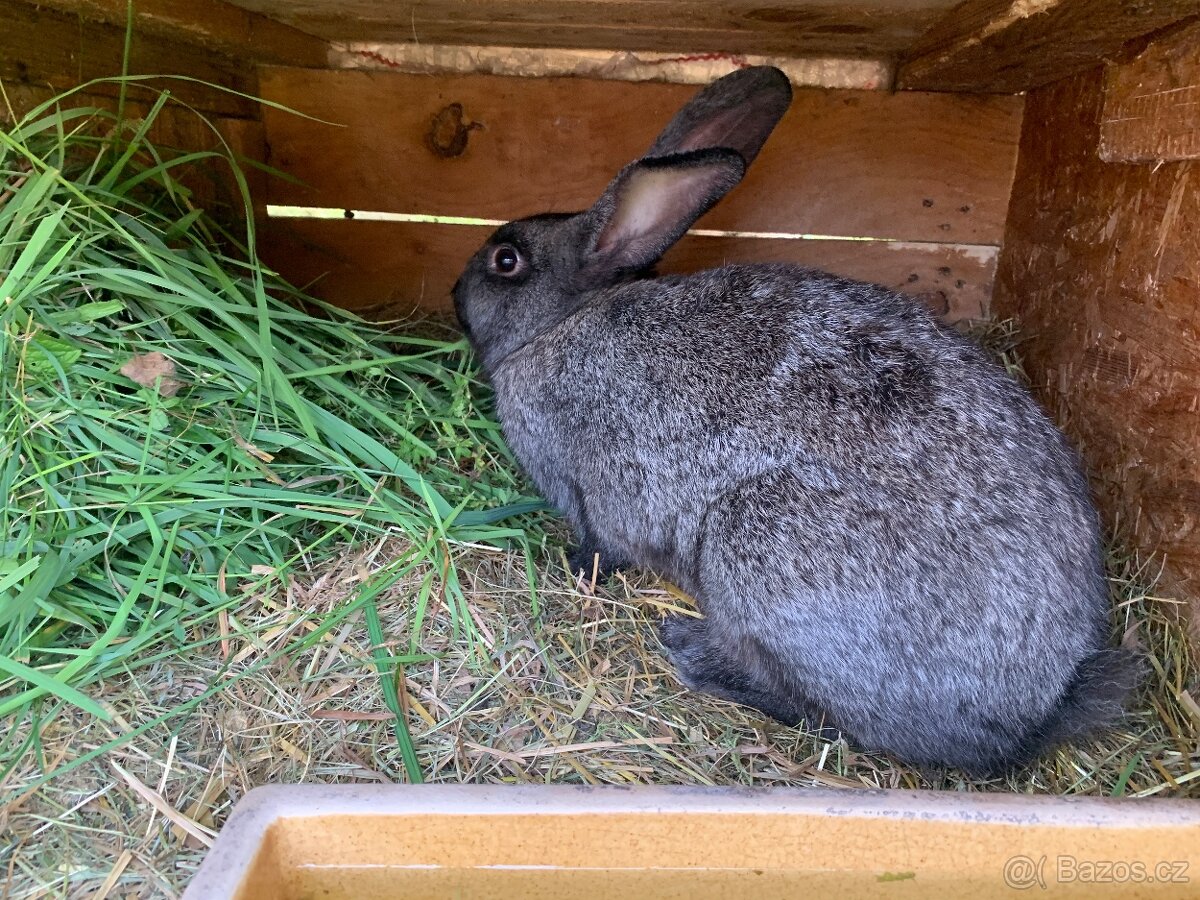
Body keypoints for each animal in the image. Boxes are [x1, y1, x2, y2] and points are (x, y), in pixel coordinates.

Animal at [451, 66, 1132, 777]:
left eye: (506, 261)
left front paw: (571, 567)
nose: (452, 293)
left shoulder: (591, 494)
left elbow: (598, 548)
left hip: (758, 546)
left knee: (831, 717)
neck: (557, 325)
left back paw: (695, 652)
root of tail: (1035, 713)